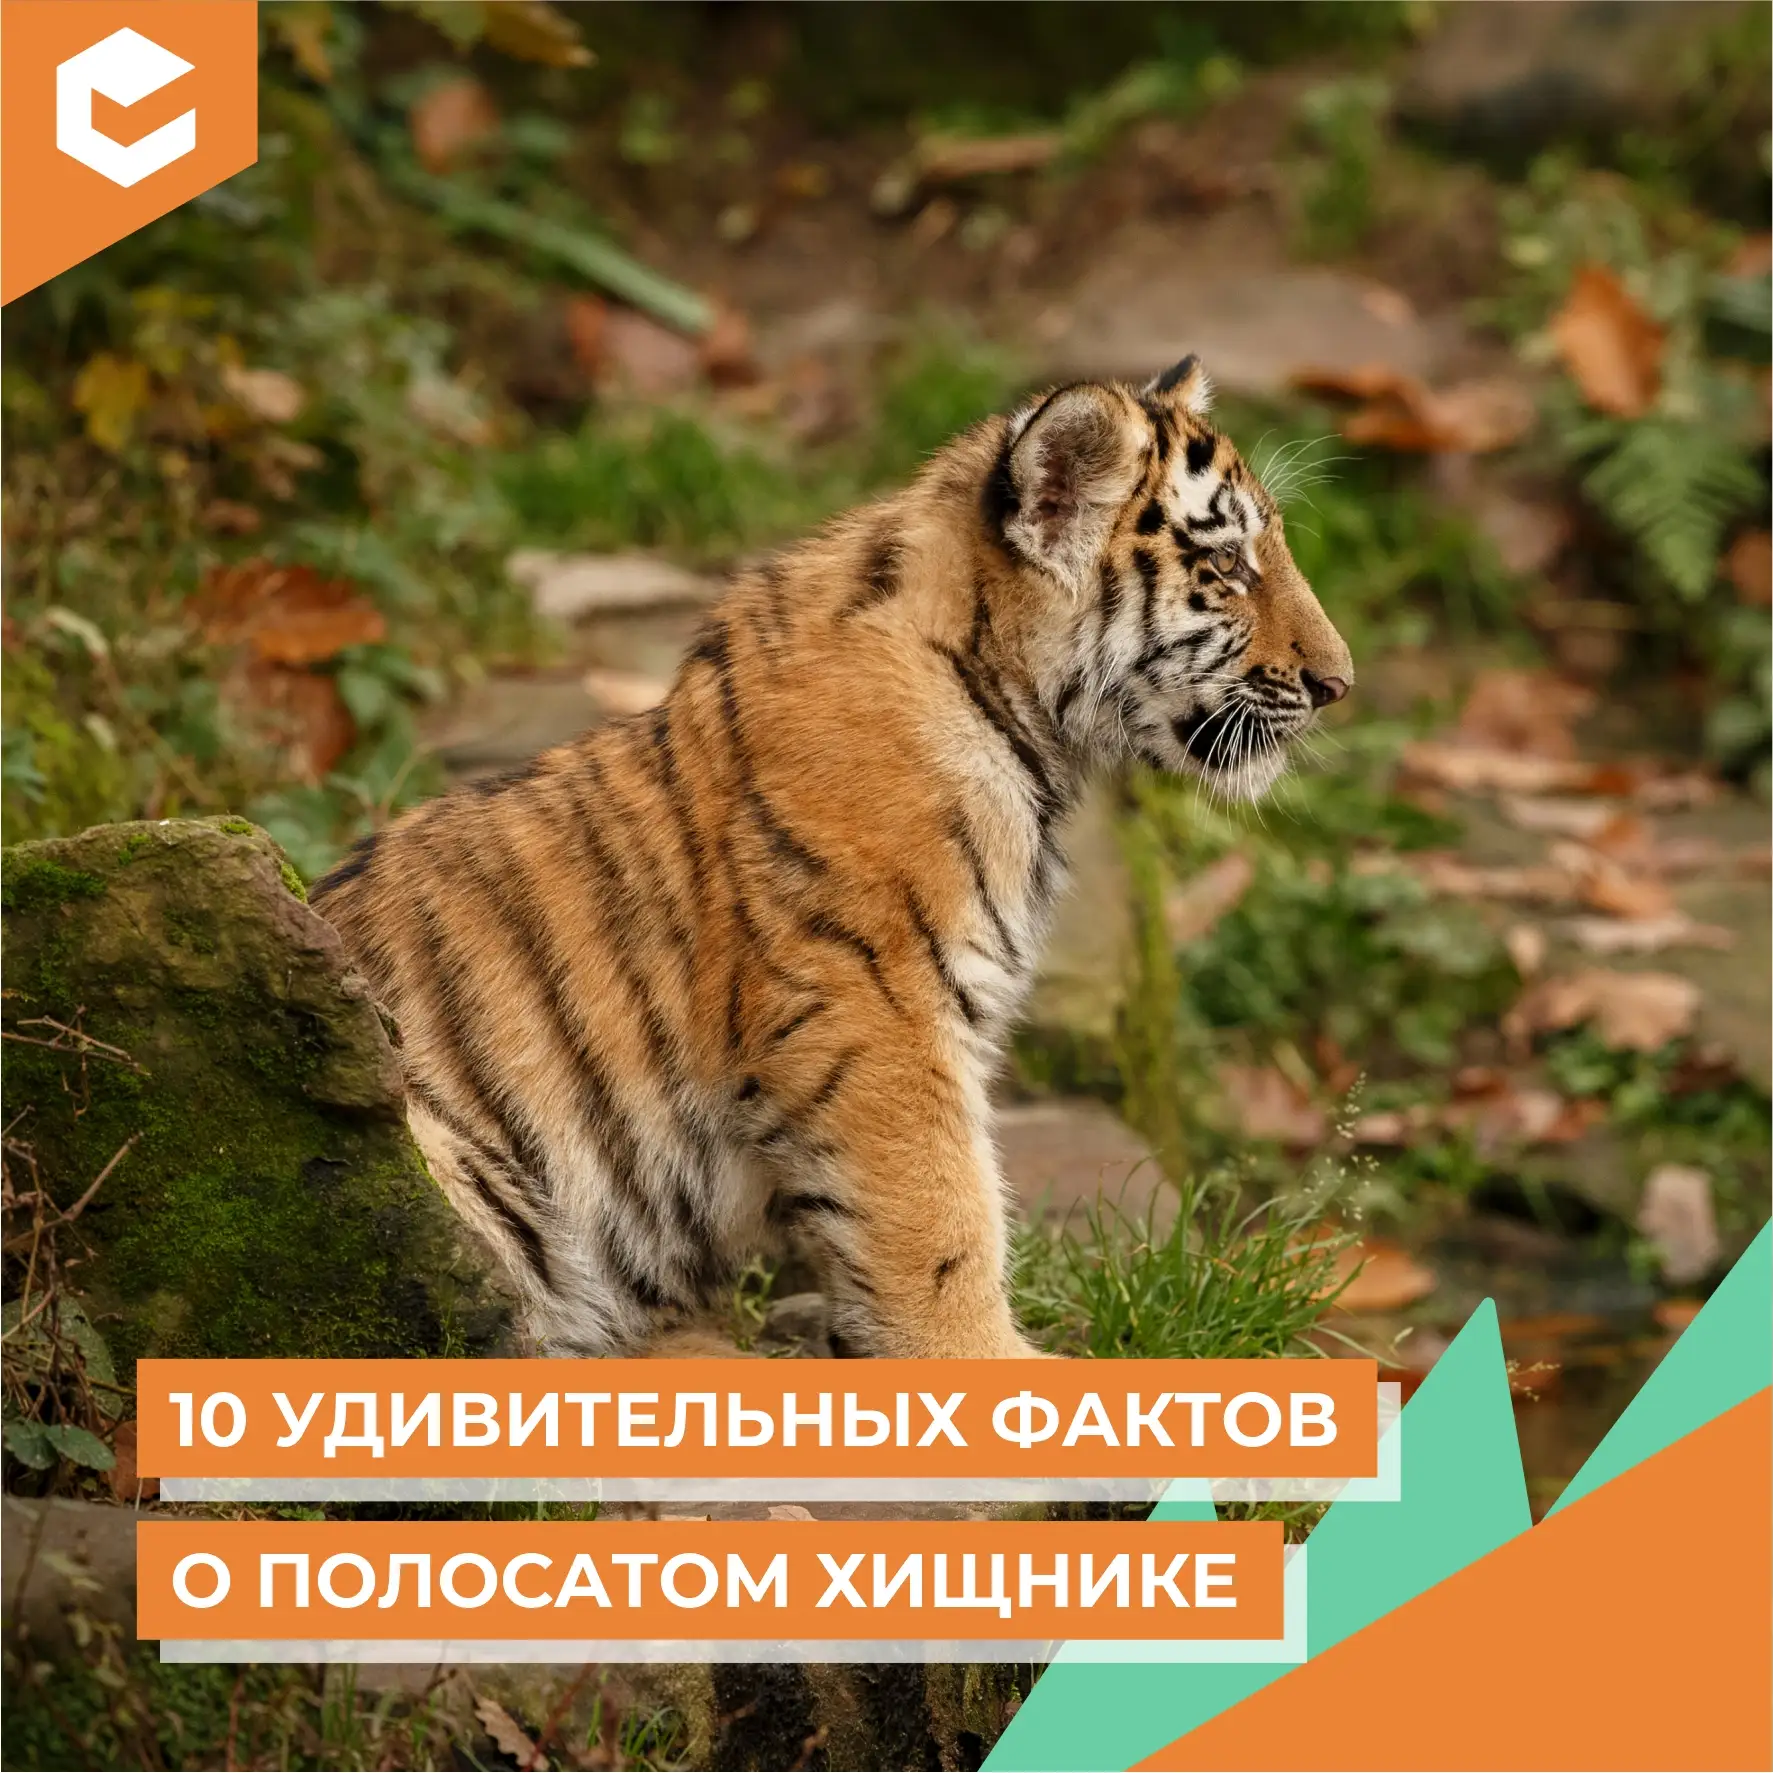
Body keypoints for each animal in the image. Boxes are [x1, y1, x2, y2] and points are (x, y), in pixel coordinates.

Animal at [311, 356, 1353, 1361]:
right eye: (1226, 563)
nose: (1337, 684)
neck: (1018, 709)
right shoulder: (873, 1005)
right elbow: (939, 1214)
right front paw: (989, 1362)